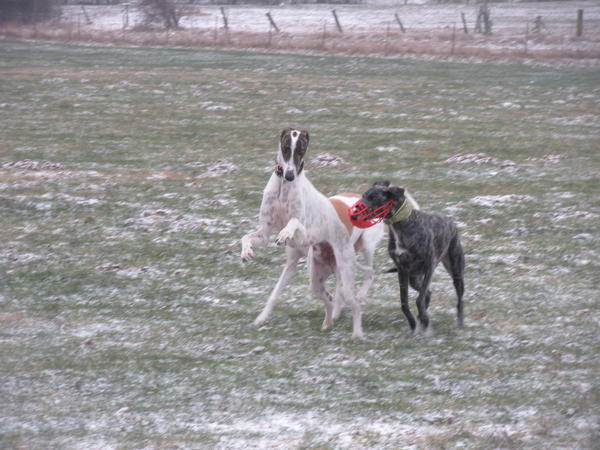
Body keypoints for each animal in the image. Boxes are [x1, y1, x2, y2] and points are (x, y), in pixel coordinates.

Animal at [354, 181, 466, 332]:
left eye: (375, 198)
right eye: (363, 195)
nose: (354, 215)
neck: (403, 225)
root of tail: (450, 221)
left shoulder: (429, 266)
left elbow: (419, 299)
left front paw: (424, 319)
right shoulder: (402, 270)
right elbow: (404, 302)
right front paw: (413, 323)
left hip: (455, 269)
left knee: (458, 297)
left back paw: (459, 322)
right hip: (414, 277)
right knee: (428, 293)